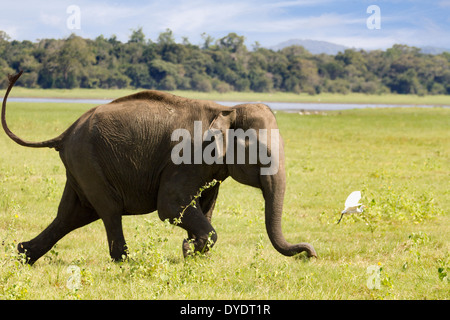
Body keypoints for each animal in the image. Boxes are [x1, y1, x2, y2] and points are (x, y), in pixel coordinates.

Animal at [0, 71, 316, 264]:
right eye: (263, 154)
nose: (310, 253)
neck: (227, 109)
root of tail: (64, 134)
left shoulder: (211, 168)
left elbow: (205, 204)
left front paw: (194, 252)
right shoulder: (187, 156)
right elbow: (171, 205)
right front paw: (190, 250)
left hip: (81, 165)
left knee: (72, 215)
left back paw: (23, 255)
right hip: (87, 161)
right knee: (108, 211)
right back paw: (125, 263)